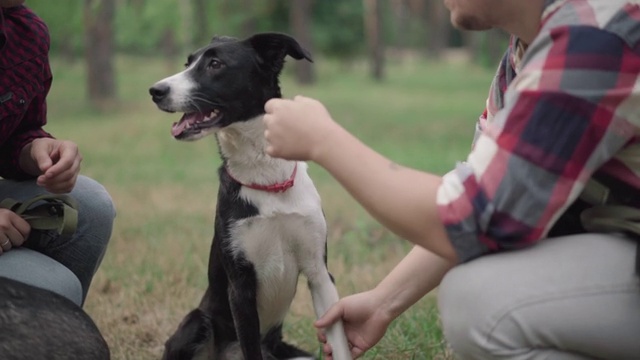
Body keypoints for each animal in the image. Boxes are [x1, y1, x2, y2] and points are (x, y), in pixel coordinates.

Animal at [149, 33, 350, 360]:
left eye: (215, 64)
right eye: (187, 63)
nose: (155, 91)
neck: (267, 180)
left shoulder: (320, 274)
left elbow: (340, 341)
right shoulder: (241, 286)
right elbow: (250, 344)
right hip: (197, 321)